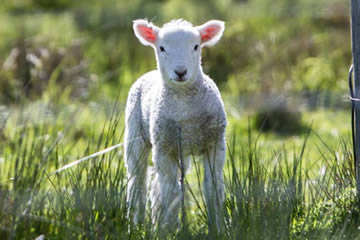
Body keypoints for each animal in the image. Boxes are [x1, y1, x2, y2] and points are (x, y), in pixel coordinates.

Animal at [124, 18, 225, 231]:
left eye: (196, 46)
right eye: (162, 48)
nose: (180, 72)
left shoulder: (215, 144)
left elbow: (213, 189)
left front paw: (218, 228)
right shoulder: (164, 148)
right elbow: (170, 192)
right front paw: (169, 230)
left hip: (181, 150)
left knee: (158, 185)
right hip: (136, 137)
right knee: (138, 183)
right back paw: (136, 225)